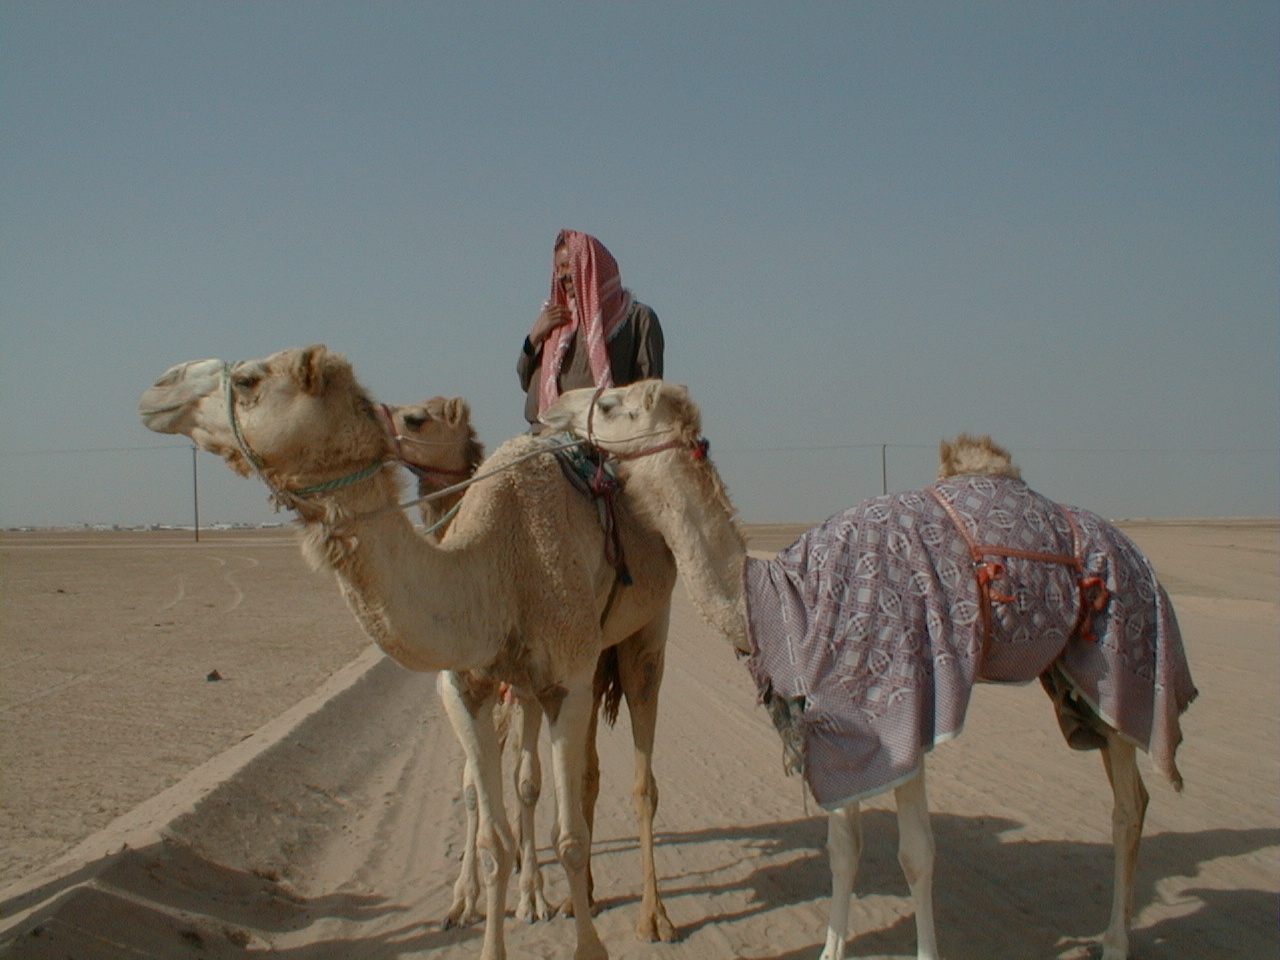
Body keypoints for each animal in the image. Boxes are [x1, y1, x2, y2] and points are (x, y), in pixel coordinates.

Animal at [138, 347, 680, 960]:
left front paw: (581, 939)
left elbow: (568, 838)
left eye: (250, 380)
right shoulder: (469, 685)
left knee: (636, 771)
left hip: (641, 635)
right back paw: (567, 896)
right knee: (563, 777)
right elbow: (490, 831)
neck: (498, 563)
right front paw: (475, 912)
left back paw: (651, 917)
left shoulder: (564, 680)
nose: (159, 387)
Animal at [541, 380, 1198, 960]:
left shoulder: (906, 705)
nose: (551, 408)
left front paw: (927, 953)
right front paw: (831, 950)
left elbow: (916, 853)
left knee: (1127, 804)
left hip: (1119, 657)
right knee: (1133, 795)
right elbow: (843, 847)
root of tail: (1138, 556)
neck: (783, 598)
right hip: (1077, 688)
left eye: (609, 401)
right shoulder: (837, 727)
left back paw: (1115, 941)